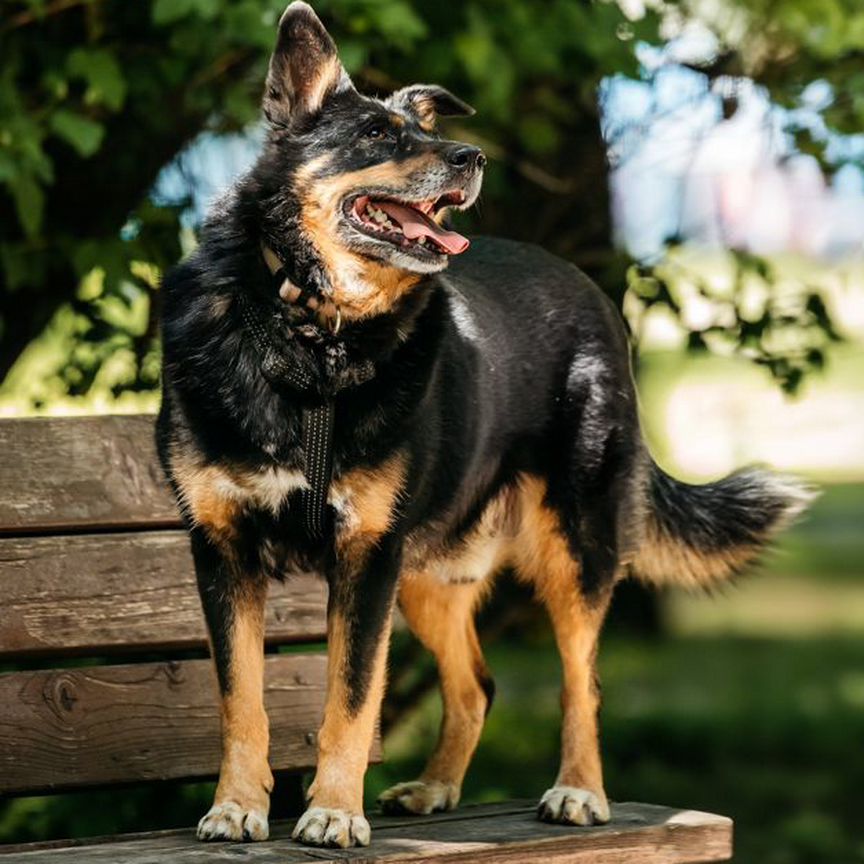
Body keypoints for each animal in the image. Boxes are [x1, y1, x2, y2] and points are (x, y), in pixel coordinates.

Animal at [157, 1, 816, 852]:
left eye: (423, 130)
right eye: (378, 135)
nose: (471, 157)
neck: (315, 337)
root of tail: (589, 291)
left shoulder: (367, 557)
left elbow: (351, 700)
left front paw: (332, 810)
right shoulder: (225, 550)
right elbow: (242, 701)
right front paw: (237, 806)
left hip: (573, 548)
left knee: (582, 685)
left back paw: (578, 792)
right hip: (428, 573)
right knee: (476, 685)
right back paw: (437, 788)